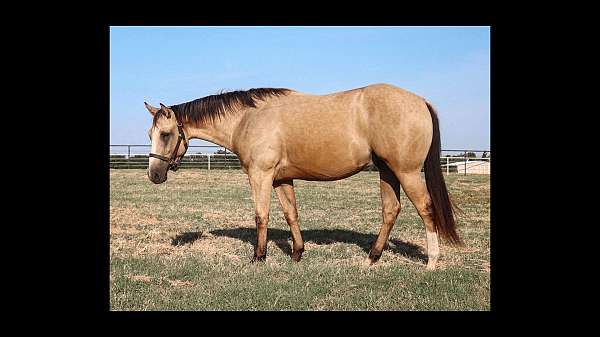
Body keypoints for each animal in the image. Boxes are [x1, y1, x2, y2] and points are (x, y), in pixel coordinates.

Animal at [144, 82, 460, 270]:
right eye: (150, 134)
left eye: (166, 134)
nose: (154, 174)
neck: (248, 119)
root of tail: (420, 101)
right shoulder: (281, 179)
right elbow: (291, 213)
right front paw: (297, 252)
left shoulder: (260, 176)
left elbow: (261, 215)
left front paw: (259, 257)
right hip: (387, 172)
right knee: (391, 210)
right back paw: (372, 257)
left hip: (407, 172)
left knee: (426, 209)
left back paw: (431, 262)